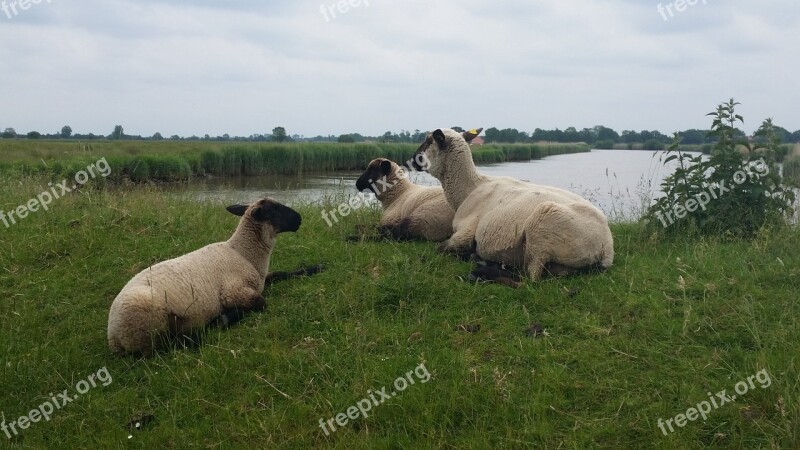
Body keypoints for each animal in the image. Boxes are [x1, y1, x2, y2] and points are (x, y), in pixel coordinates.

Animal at [107, 197, 318, 356]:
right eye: (275, 209)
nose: (299, 219)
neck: (244, 254)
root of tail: (113, 337)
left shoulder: (262, 279)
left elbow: (281, 274)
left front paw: (316, 267)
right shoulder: (233, 291)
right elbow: (261, 303)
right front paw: (228, 314)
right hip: (148, 322)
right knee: (171, 345)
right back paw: (214, 323)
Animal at [354, 129, 482, 243]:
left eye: (372, 171)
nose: (357, 184)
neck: (397, 194)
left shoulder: (391, 220)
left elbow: (379, 227)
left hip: (422, 217)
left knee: (392, 234)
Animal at [410, 129, 616, 284]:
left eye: (428, 141)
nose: (412, 160)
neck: (470, 188)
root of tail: (606, 247)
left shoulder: (464, 233)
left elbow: (440, 248)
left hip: (542, 229)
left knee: (530, 278)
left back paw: (482, 272)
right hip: (562, 263)